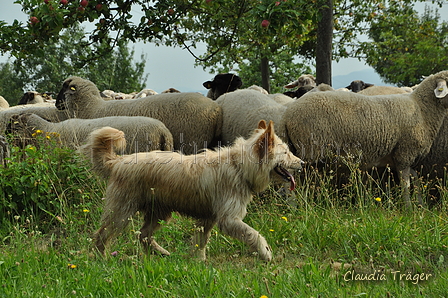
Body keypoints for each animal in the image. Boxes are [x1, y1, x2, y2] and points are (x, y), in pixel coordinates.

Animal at [284, 70, 448, 208]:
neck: (421, 108)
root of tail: (289, 113)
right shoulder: (404, 154)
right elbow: (406, 185)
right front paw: (408, 210)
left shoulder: (407, 158)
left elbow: (416, 181)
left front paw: (421, 206)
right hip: (311, 150)